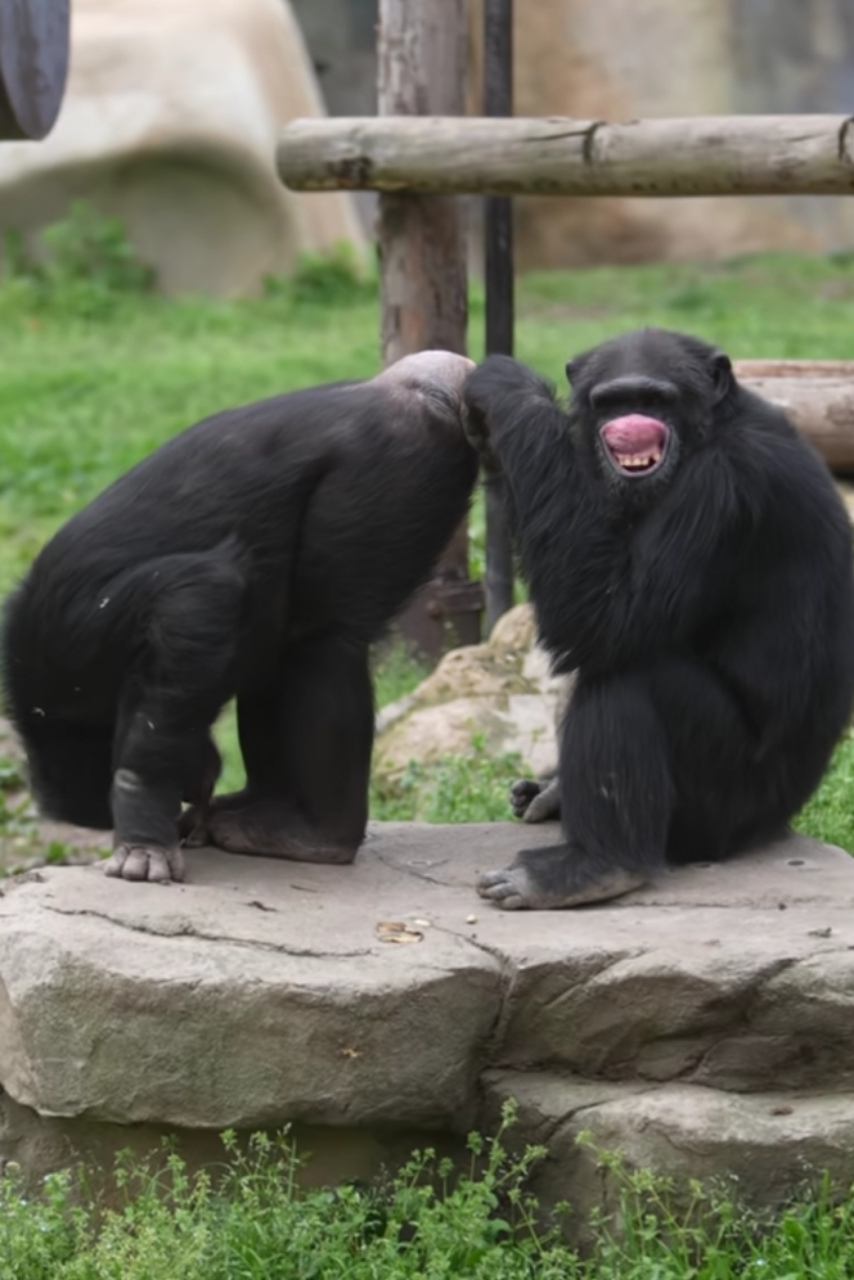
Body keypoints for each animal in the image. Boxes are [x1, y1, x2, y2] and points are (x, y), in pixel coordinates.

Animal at [0, 355, 478, 885]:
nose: (189, 793)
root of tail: (418, 385)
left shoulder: (83, 633)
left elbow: (196, 598)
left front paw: (141, 810)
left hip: (391, 476)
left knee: (319, 643)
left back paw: (317, 837)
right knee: (276, 653)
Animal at [463, 330, 854, 911]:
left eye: (654, 399)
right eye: (611, 402)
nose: (628, 423)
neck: (709, 431)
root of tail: (777, 823)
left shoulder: (727, 485)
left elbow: (607, 617)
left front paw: (507, 390)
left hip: (723, 808)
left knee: (628, 678)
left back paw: (594, 867)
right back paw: (557, 797)